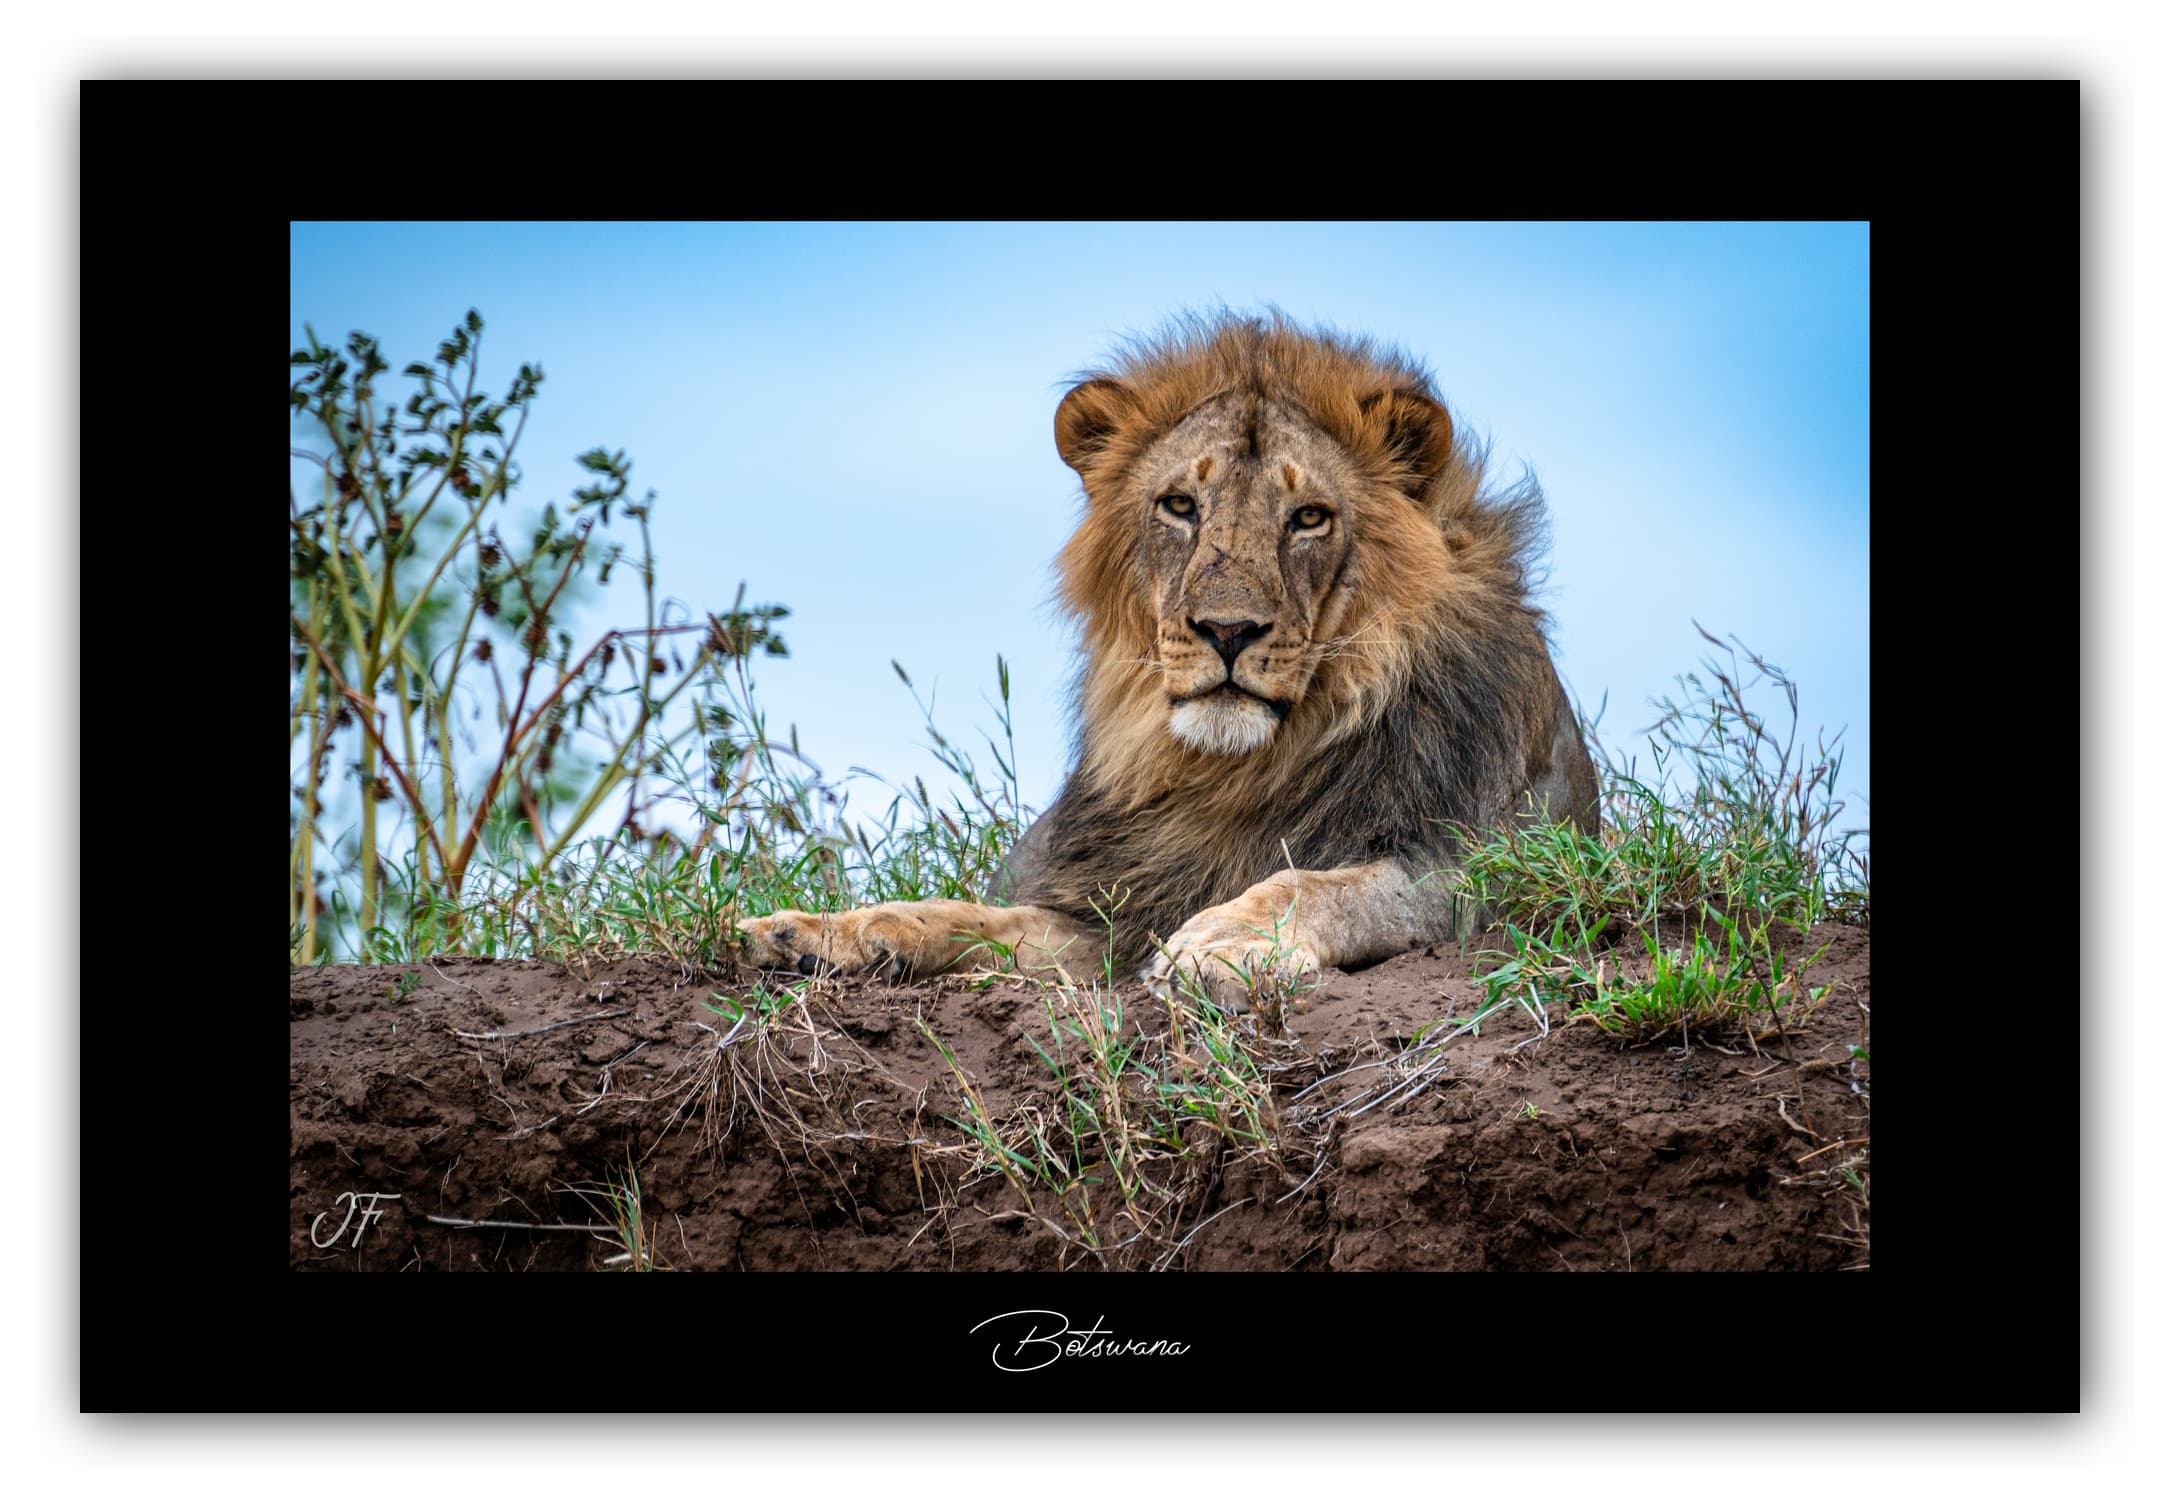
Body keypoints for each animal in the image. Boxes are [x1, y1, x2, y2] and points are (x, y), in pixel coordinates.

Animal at [740, 311, 1599, 1011]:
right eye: (1181, 506)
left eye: (1309, 518)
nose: (1228, 629)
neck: (1229, 774)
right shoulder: (1108, 910)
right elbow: (970, 915)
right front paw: (817, 931)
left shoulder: (1490, 869)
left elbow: (1326, 883)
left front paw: (1219, 942)